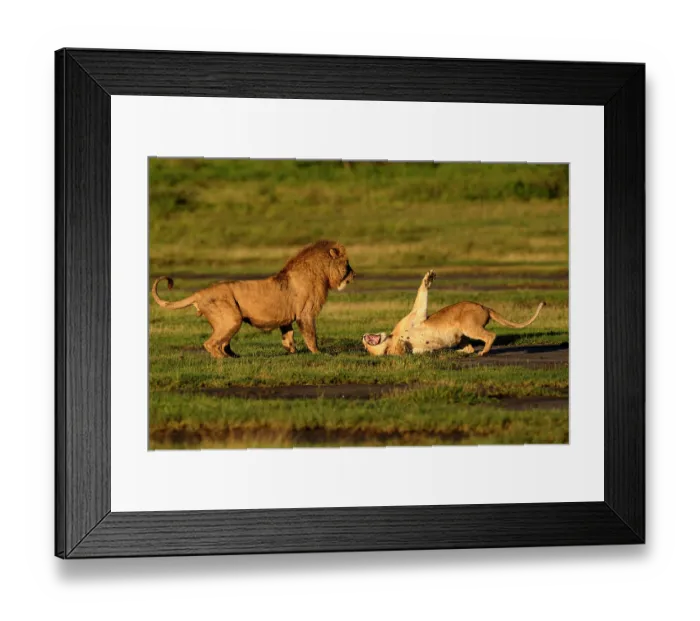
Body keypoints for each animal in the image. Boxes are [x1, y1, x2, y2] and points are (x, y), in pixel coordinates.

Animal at [151, 241, 355, 358]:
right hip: (231, 319)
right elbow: (311, 336)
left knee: (223, 344)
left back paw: (235, 357)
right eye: (347, 263)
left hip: (229, 321)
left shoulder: (287, 318)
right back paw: (226, 360)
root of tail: (200, 292)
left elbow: (288, 337)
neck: (321, 273)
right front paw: (319, 354)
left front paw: (292, 353)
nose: (354, 274)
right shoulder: (306, 314)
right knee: (210, 344)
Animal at [362, 270, 545, 356]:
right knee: (481, 341)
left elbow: (420, 298)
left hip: (467, 325)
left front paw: (429, 278)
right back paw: (469, 352)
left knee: (489, 336)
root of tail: (484, 307)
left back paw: (481, 352)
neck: (392, 340)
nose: (363, 337)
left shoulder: (415, 316)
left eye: (365, 346)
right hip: (465, 330)